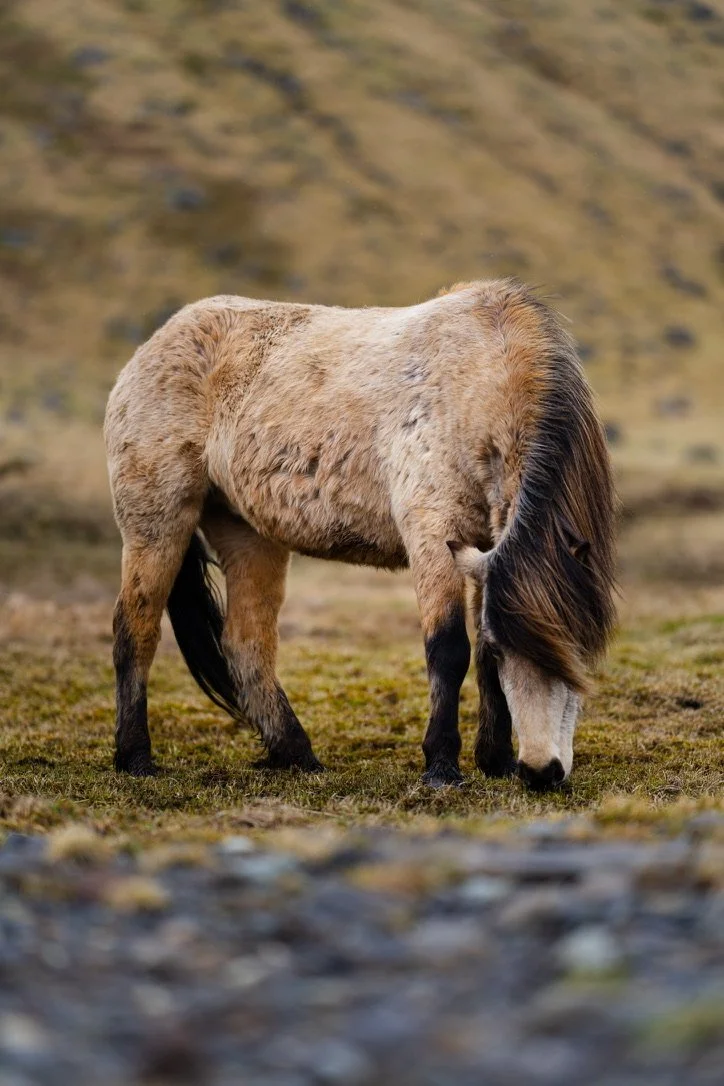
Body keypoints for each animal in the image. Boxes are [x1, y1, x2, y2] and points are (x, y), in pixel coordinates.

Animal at [104, 278, 616, 792]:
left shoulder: (483, 547)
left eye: (577, 650)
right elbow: (449, 649)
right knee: (136, 631)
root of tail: (155, 344)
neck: (479, 378)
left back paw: (297, 754)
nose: (541, 772)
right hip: (157, 522)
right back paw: (135, 758)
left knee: (246, 644)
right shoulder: (433, 534)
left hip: (247, 533)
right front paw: (442, 768)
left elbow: (482, 660)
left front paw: (496, 761)